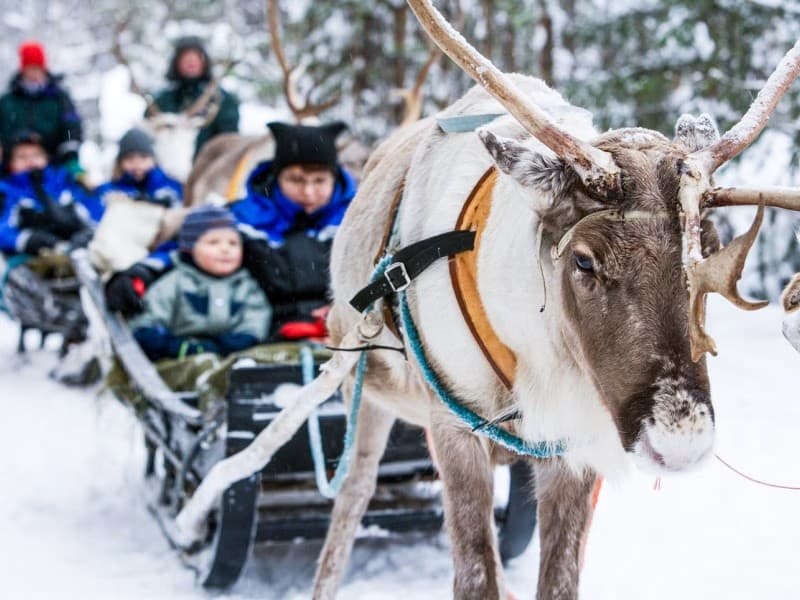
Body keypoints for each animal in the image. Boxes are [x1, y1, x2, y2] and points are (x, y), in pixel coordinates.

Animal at [171, 1, 800, 598]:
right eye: (584, 259)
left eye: (709, 249)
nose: (681, 443)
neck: (535, 356)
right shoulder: (452, 426)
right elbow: (475, 574)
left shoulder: (574, 445)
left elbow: (558, 579)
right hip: (364, 383)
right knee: (351, 493)